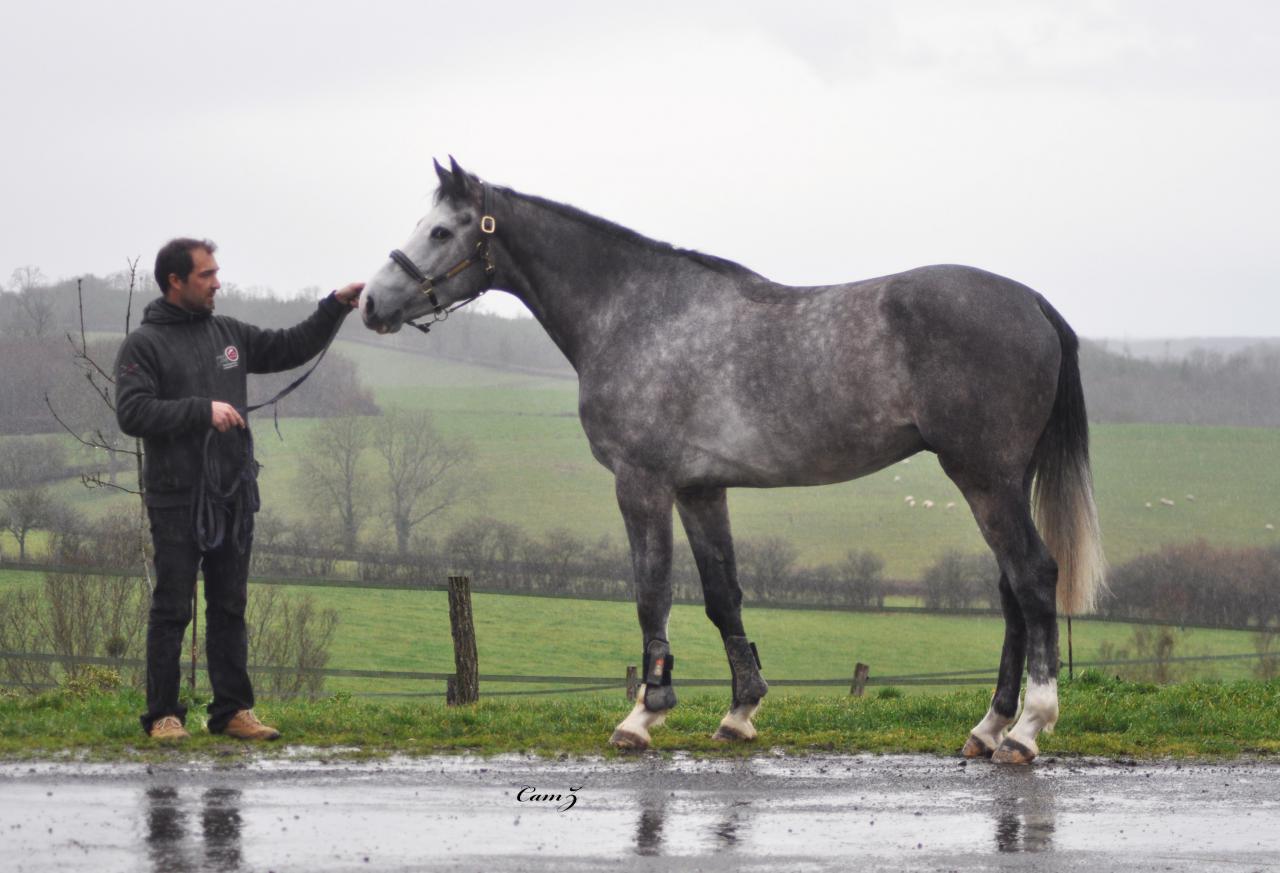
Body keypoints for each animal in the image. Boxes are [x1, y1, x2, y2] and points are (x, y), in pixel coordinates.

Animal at [360, 158, 1106, 764]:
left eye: (441, 231)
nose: (369, 302)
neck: (640, 314)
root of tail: (1033, 303)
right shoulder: (700, 487)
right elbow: (723, 595)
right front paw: (740, 709)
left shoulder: (643, 482)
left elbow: (652, 590)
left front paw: (644, 713)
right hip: (1000, 480)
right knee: (1011, 592)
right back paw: (987, 727)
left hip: (984, 477)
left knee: (1033, 577)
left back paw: (1026, 729)